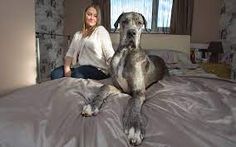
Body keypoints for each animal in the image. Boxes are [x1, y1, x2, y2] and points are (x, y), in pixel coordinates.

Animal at [82, 11, 167, 146]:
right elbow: (104, 87)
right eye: (124, 21)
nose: (132, 32)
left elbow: (133, 103)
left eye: (139, 23)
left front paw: (134, 127)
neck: (125, 53)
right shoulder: (119, 88)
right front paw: (92, 106)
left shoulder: (138, 92)